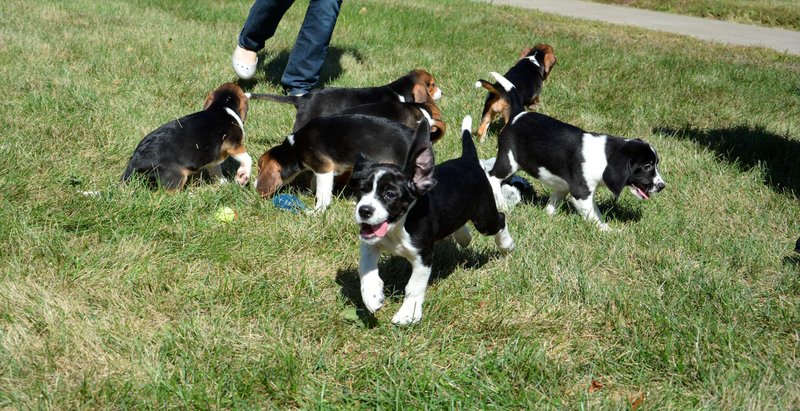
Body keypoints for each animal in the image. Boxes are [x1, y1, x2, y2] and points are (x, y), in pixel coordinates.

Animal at [121, 82, 253, 192]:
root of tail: (135, 159)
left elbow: (215, 170)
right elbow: (247, 158)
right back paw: (189, 195)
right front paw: (242, 177)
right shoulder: (234, 145)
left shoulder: (212, 157)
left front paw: (223, 183)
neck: (222, 105)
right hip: (175, 175)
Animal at [350, 116, 512, 326]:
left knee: (500, 219)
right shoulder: (371, 243)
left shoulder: (423, 257)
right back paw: (464, 236)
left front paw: (408, 313)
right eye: (362, 190)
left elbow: (414, 286)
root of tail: (468, 160)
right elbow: (365, 267)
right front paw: (372, 295)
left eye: (390, 195)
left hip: (484, 218)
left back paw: (506, 245)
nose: (364, 210)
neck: (398, 227)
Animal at [478, 72, 664, 230]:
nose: (662, 186)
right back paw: (502, 203)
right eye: (647, 166)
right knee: (492, 177)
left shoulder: (565, 186)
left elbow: (554, 202)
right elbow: (595, 215)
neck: (604, 156)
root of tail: (518, 114)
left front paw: (548, 217)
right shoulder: (582, 193)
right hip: (508, 161)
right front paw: (608, 231)